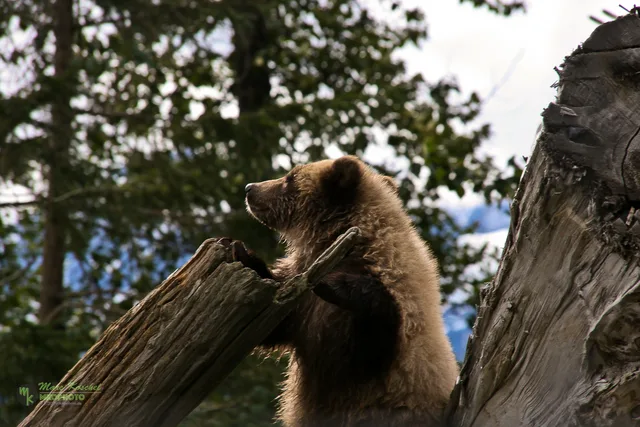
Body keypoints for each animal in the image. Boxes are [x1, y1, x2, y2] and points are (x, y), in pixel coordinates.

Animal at [220, 155, 459, 427]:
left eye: (290, 178)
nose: (250, 188)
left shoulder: (395, 347)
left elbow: (370, 345)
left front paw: (334, 284)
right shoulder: (302, 310)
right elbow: (272, 321)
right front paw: (242, 253)